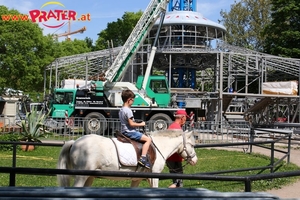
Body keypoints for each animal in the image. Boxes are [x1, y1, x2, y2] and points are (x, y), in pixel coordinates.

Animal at [56, 130, 197, 188]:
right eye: (192, 145)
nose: (195, 160)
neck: (158, 146)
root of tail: (75, 142)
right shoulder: (154, 176)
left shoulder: (137, 179)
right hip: (81, 176)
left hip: (90, 176)